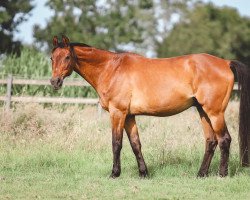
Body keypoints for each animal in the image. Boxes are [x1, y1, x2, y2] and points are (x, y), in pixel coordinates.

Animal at [49, 35, 249, 177]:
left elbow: (116, 143)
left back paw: (222, 174)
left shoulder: (117, 113)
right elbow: (135, 144)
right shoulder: (129, 116)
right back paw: (201, 174)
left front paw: (114, 173)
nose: (54, 82)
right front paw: (143, 173)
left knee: (224, 139)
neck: (111, 69)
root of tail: (225, 62)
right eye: (52, 58)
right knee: (211, 141)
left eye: (67, 57)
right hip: (202, 111)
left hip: (215, 112)